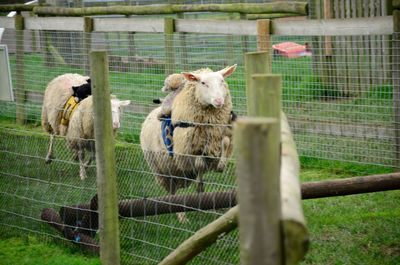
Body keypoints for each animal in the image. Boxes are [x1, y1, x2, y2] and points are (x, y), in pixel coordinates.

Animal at [140, 64, 236, 221]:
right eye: (203, 83)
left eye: (222, 80)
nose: (218, 101)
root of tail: (150, 114)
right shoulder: (186, 153)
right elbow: (199, 163)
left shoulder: (219, 140)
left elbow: (225, 145)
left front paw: (219, 166)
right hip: (162, 170)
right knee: (173, 193)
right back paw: (181, 217)